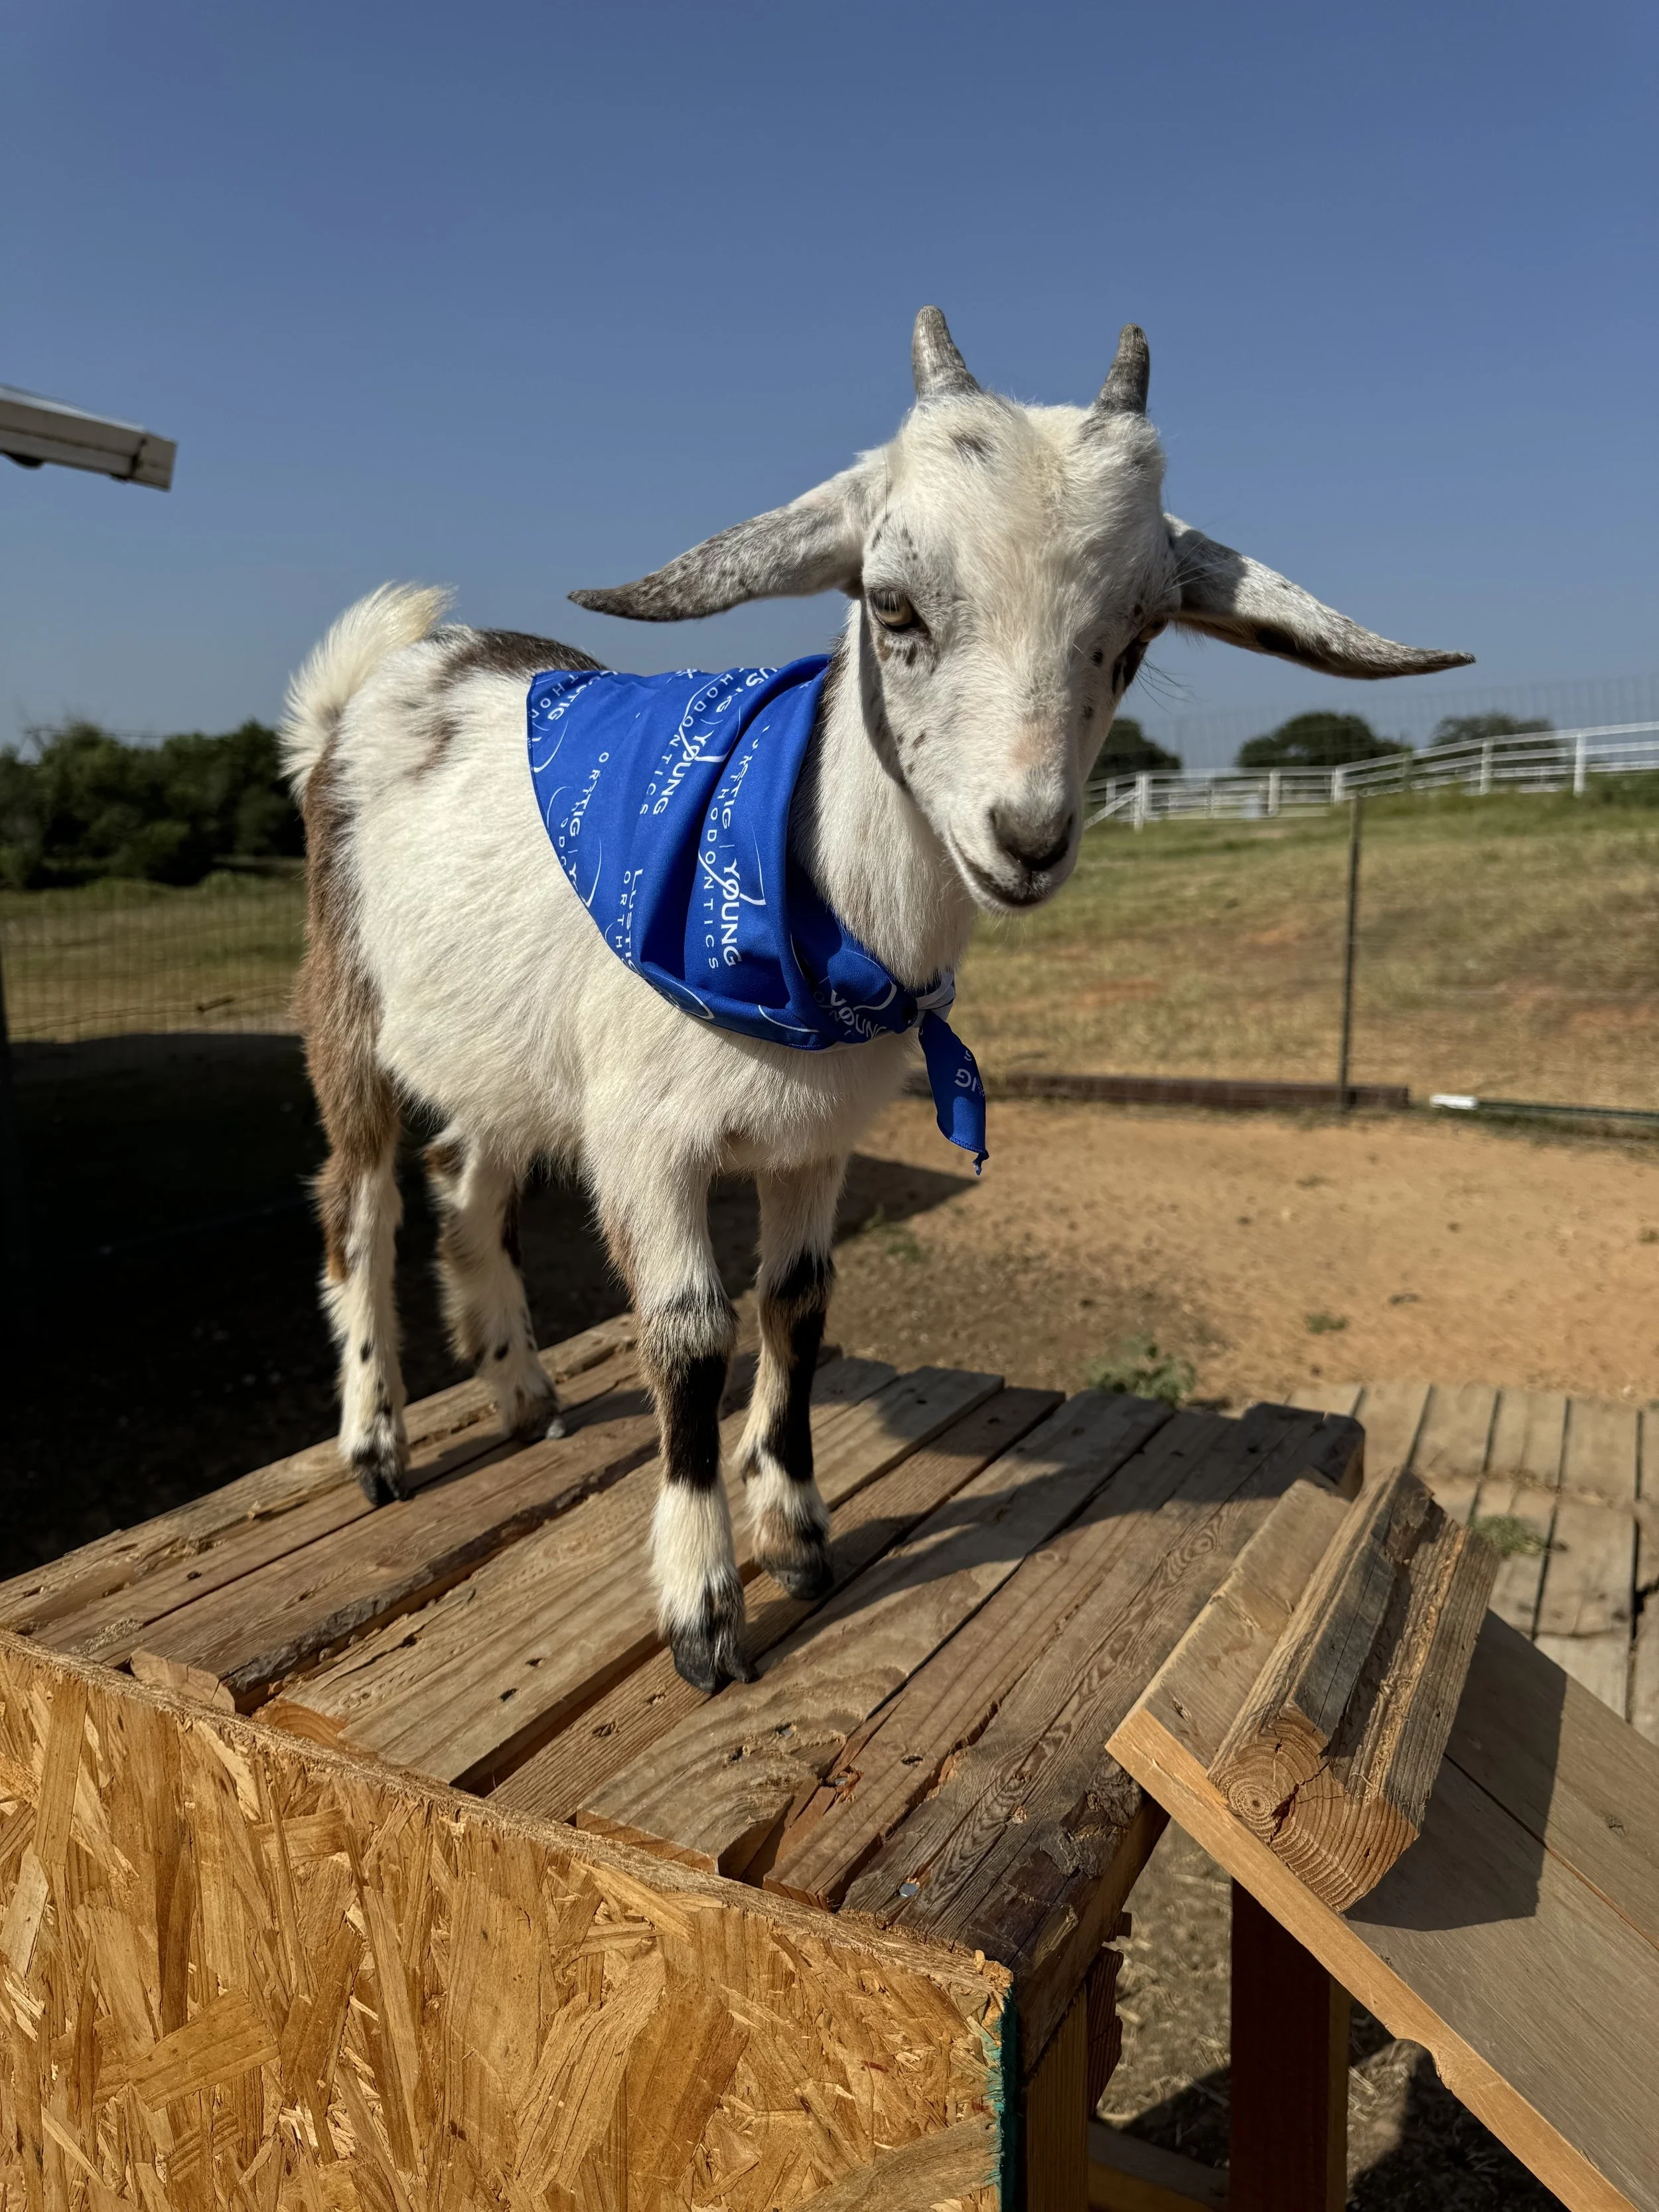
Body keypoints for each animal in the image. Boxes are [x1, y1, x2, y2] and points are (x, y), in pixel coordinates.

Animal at [281, 310, 1470, 1691]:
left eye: (1138, 632)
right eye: (892, 602)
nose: (1027, 838)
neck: (804, 906)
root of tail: (372, 688)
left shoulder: (815, 1138)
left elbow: (797, 1309)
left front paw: (797, 1530)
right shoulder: (646, 1142)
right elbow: (689, 1336)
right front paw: (703, 1608)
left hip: (507, 1052)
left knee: (467, 1178)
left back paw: (521, 1389)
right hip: (345, 1009)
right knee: (359, 1201)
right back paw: (378, 1441)